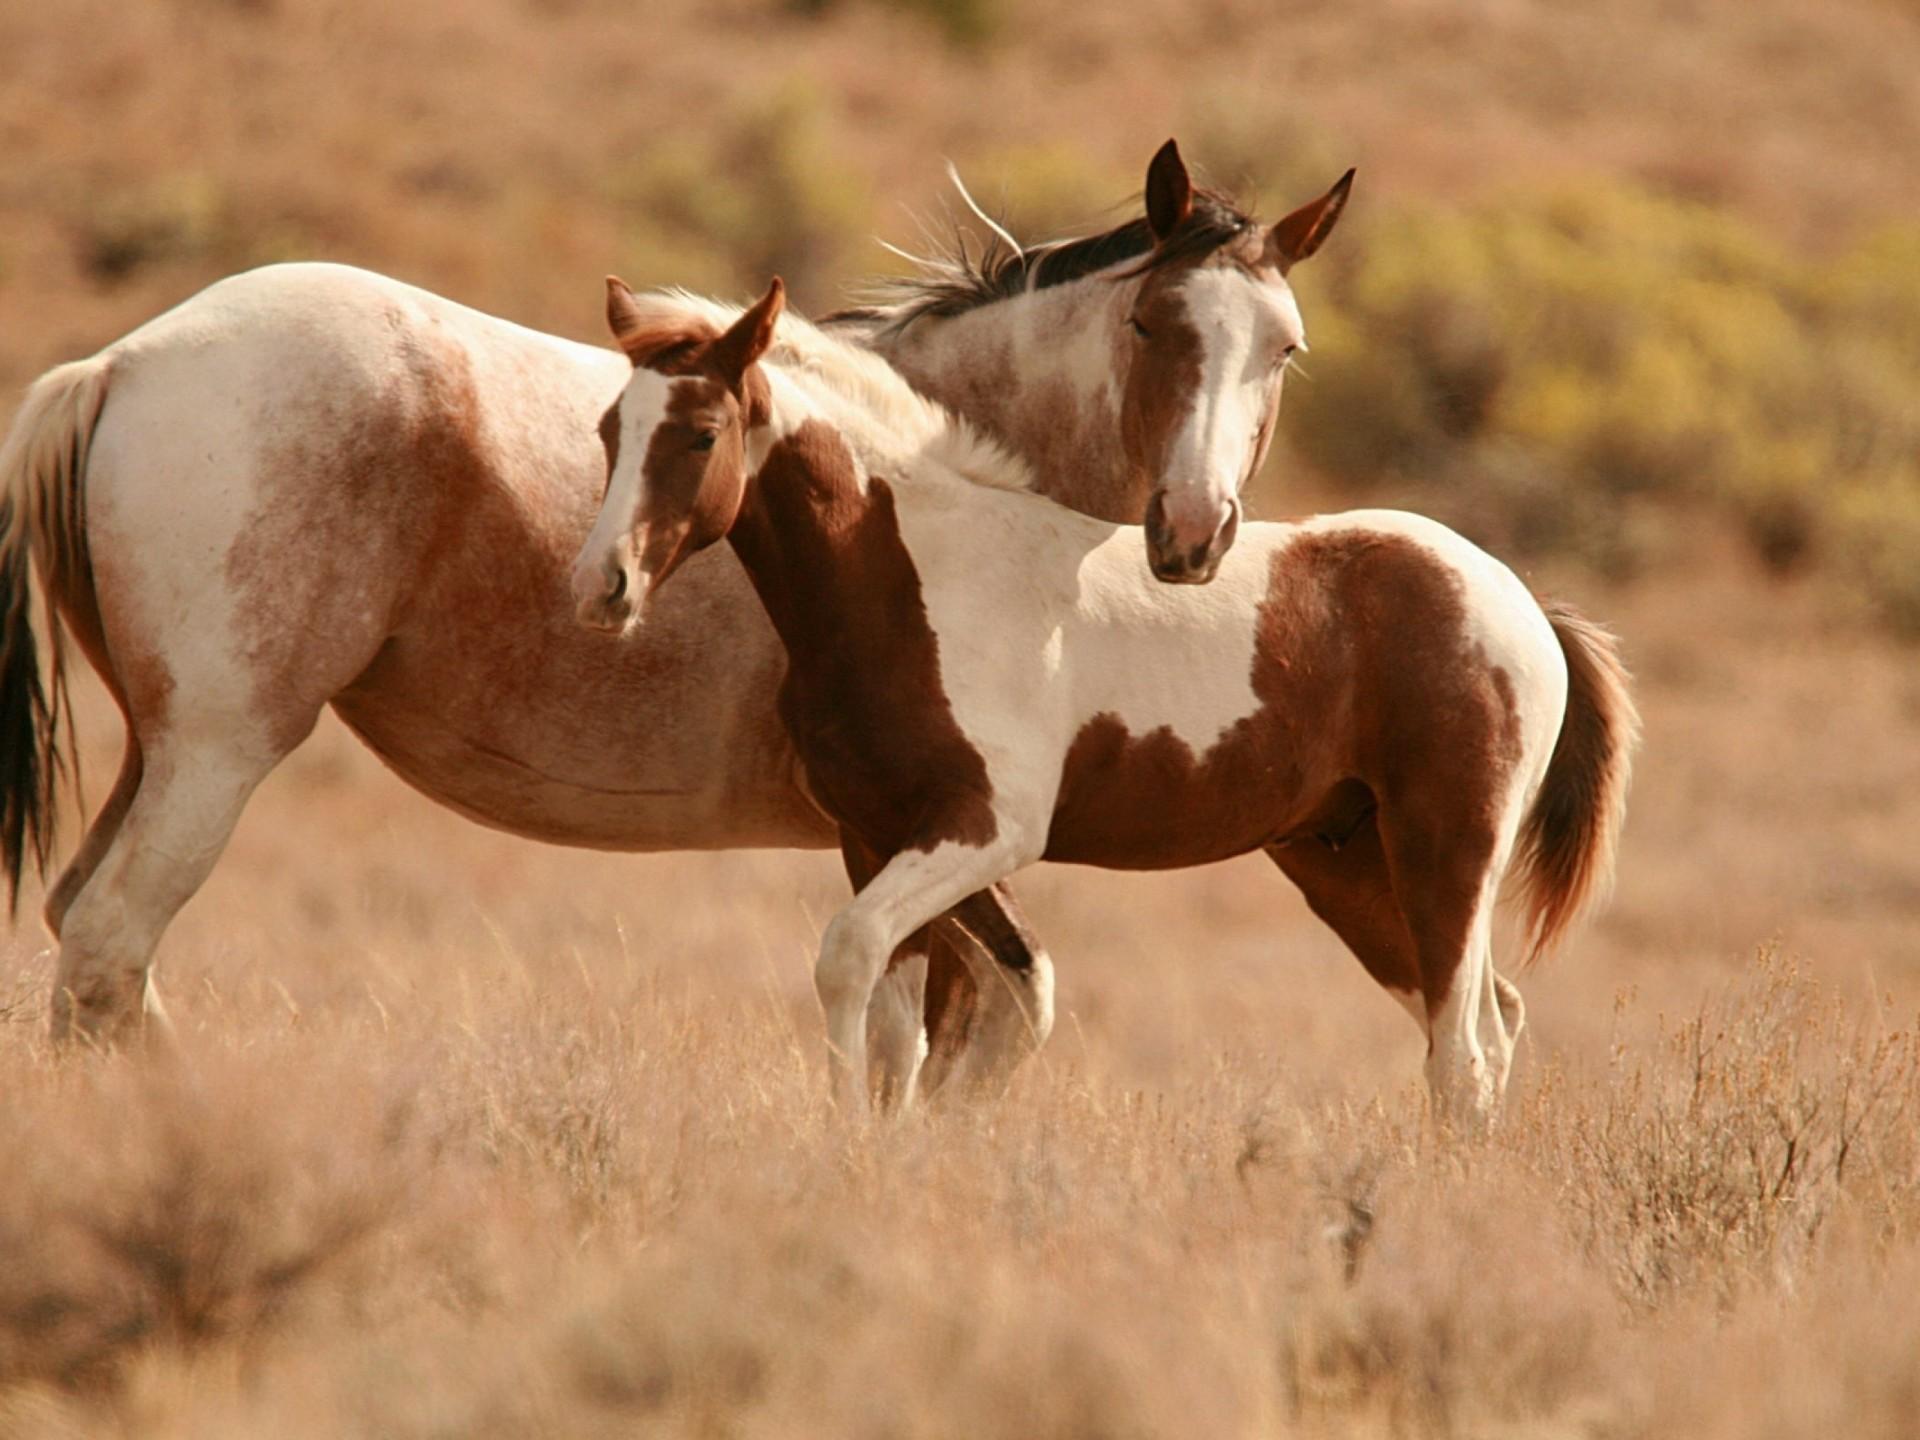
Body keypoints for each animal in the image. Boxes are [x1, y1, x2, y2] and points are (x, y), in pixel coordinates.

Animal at [0, 141, 1350, 1092]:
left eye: (1284, 349)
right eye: (1152, 323)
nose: (1194, 531)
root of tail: (120, 364)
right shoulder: (916, 835)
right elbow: (950, 1032)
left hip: (160, 751)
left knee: (86, 939)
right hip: (218, 753)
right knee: (111, 946)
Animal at [570, 278, 1639, 1126]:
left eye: (702, 434)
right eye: (610, 429)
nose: (601, 587)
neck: (912, 580)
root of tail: (1517, 600)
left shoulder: (987, 830)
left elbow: (848, 955)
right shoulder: (875, 833)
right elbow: (895, 1021)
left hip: (1446, 851)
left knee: (1464, 1052)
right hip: (1349, 866)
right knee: (1488, 1025)